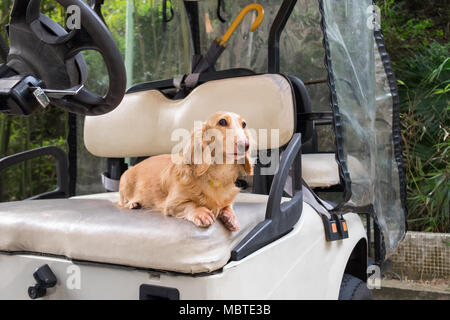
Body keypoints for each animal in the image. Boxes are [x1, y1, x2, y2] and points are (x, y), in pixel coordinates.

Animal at [119, 111, 253, 231]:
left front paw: (230, 217)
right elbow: (191, 204)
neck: (215, 176)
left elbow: (227, 206)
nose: (246, 145)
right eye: (222, 122)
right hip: (125, 181)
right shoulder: (172, 203)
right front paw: (201, 212)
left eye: (244, 124)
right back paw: (132, 203)